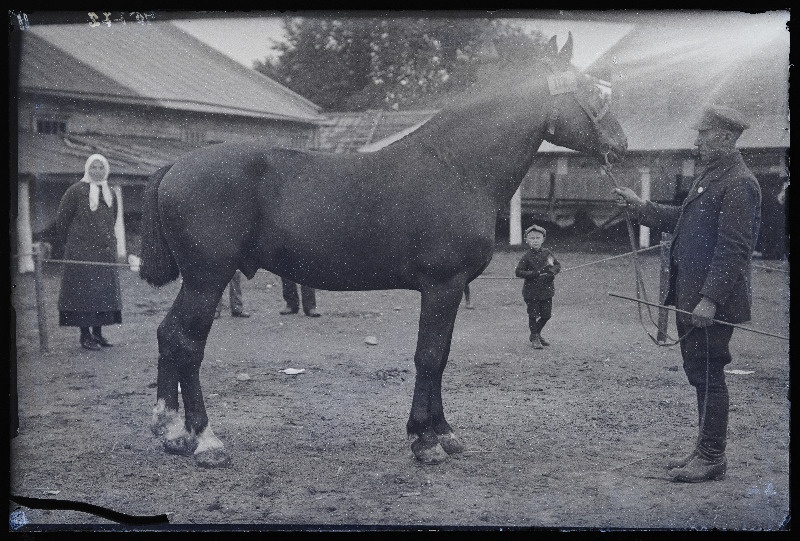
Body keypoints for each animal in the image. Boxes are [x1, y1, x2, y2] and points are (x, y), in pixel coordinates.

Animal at [139, 33, 624, 466]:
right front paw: (425, 441)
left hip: (200, 281)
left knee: (167, 334)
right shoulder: (442, 286)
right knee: (185, 343)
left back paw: (171, 431)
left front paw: (443, 433)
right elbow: (428, 356)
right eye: (588, 90)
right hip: (208, 280)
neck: (456, 167)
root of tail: (176, 167)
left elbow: (441, 357)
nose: (618, 144)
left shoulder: (449, 291)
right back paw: (205, 441)